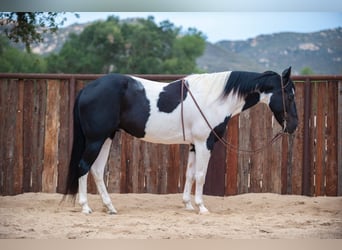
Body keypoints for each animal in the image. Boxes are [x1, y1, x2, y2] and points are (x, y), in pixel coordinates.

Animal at [62, 67, 298, 215]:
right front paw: (201, 207)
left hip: (106, 138)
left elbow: (190, 174)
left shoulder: (194, 145)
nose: (294, 126)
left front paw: (188, 205)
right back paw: (85, 207)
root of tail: (87, 88)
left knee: (96, 170)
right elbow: (201, 175)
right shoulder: (205, 143)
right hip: (96, 139)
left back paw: (110, 207)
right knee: (83, 167)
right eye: (290, 95)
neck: (214, 99)